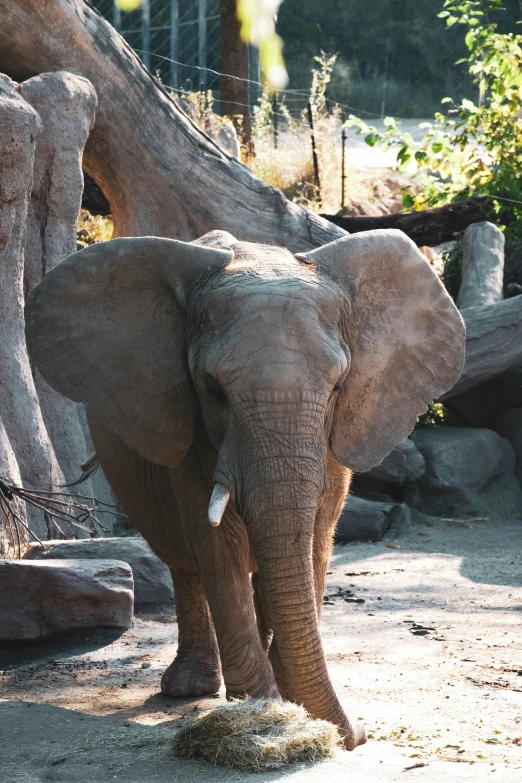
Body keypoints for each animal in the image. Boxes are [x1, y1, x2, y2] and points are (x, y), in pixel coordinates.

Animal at [24, 227, 464, 748]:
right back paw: (188, 688)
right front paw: (265, 709)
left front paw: (288, 704)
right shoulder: (190, 431)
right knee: (184, 562)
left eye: (338, 386)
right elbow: (220, 543)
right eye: (213, 389)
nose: (358, 732)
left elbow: (315, 539)